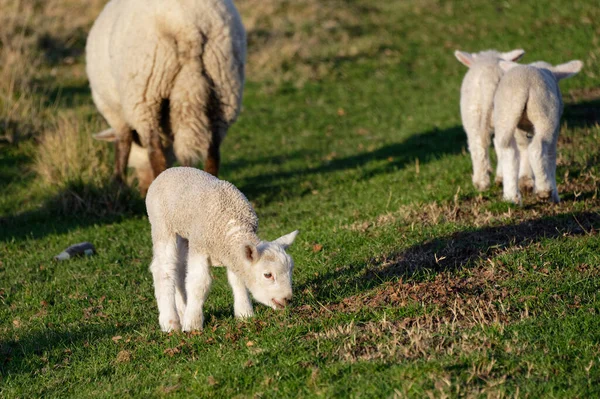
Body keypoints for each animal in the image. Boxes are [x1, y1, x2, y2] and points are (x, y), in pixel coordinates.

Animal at [85, 0, 246, 195]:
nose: (143, 187)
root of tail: (188, 27)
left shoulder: (112, 110)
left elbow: (123, 142)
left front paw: (118, 184)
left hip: (145, 92)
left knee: (156, 151)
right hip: (225, 84)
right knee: (213, 150)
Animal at [146, 167, 300, 332]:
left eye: (291, 270)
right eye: (267, 275)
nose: (287, 299)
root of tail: (169, 170)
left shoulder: (232, 254)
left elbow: (238, 281)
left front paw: (245, 314)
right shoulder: (200, 245)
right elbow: (199, 283)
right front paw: (193, 324)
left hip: (184, 234)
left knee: (179, 269)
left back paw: (182, 311)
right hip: (162, 225)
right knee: (164, 269)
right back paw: (170, 322)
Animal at [492, 59, 580, 206]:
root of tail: (523, 85)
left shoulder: (520, 131)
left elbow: (523, 150)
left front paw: (525, 182)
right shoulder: (554, 127)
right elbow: (550, 157)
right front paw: (555, 195)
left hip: (506, 114)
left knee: (508, 150)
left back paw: (511, 196)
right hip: (545, 112)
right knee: (537, 148)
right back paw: (545, 190)